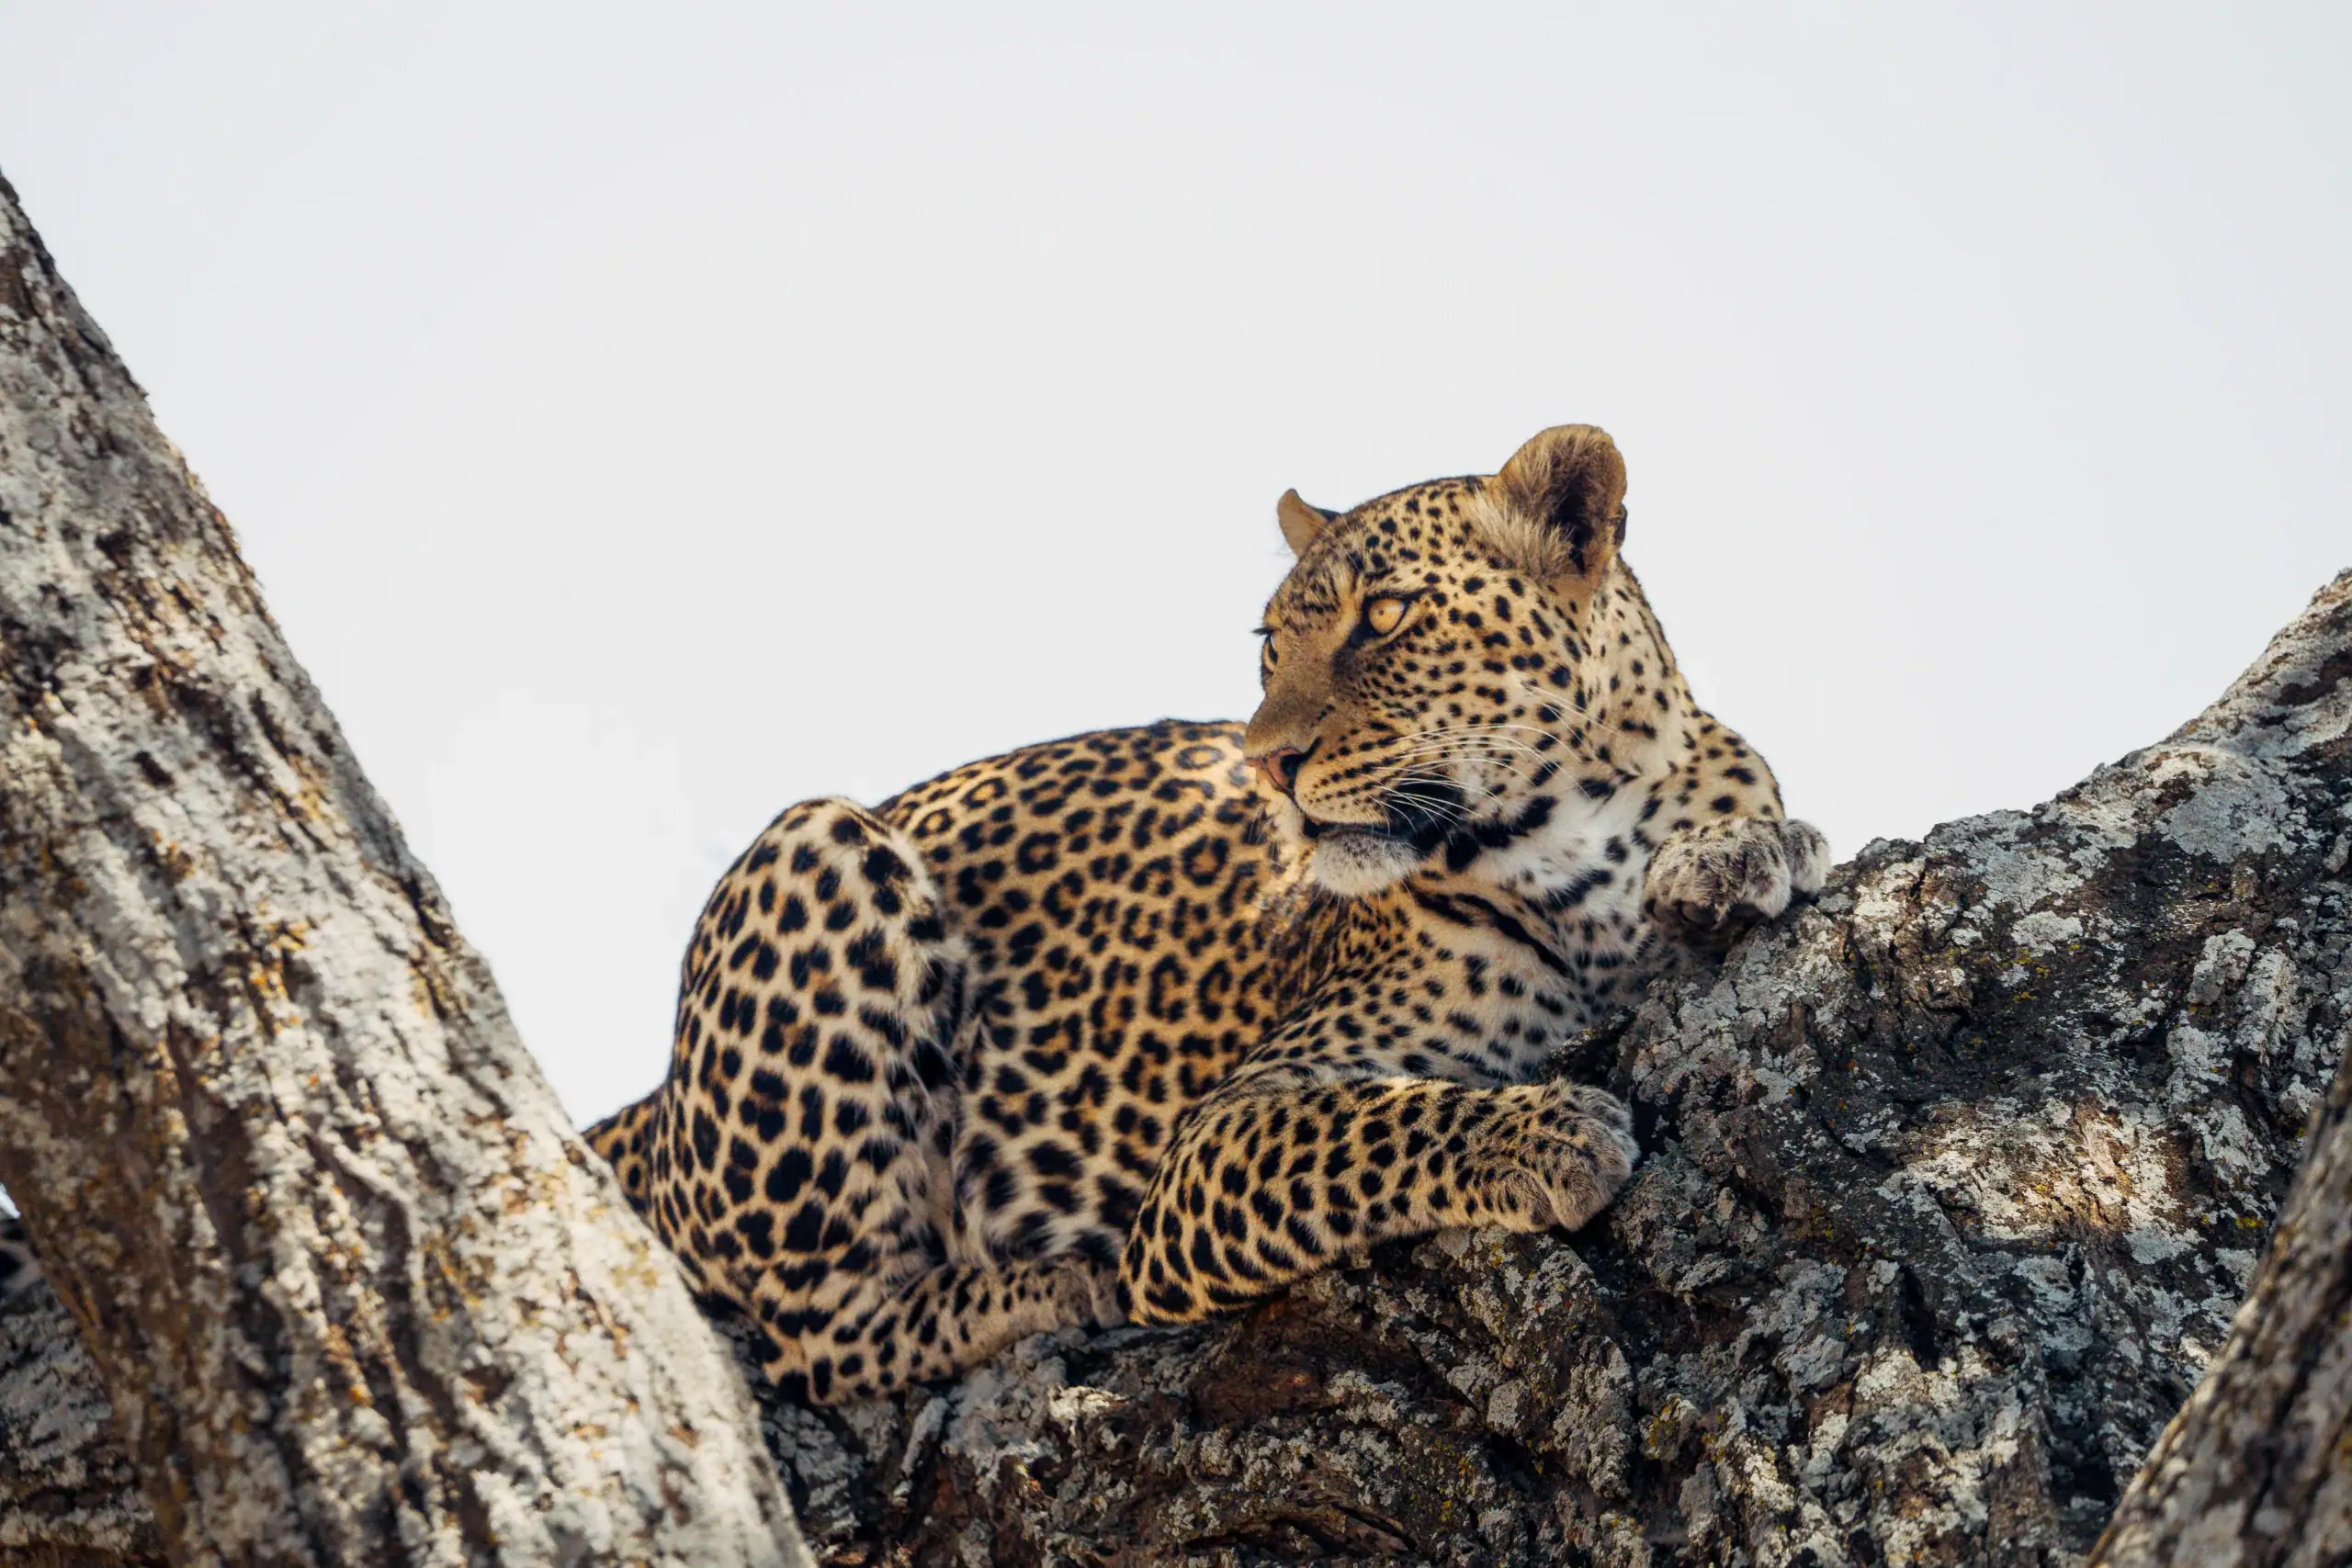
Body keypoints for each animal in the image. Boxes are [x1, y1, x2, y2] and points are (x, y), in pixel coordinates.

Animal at [580, 423, 1828, 1405]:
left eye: (1385, 616)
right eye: (1271, 642)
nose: (1267, 763)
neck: (1574, 832)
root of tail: (655, 1102)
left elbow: (1751, 811)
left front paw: (1744, 852)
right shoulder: (1215, 1138)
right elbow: (1376, 1119)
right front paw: (1546, 1130)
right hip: (818, 845)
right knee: (820, 1337)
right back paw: (1048, 1285)